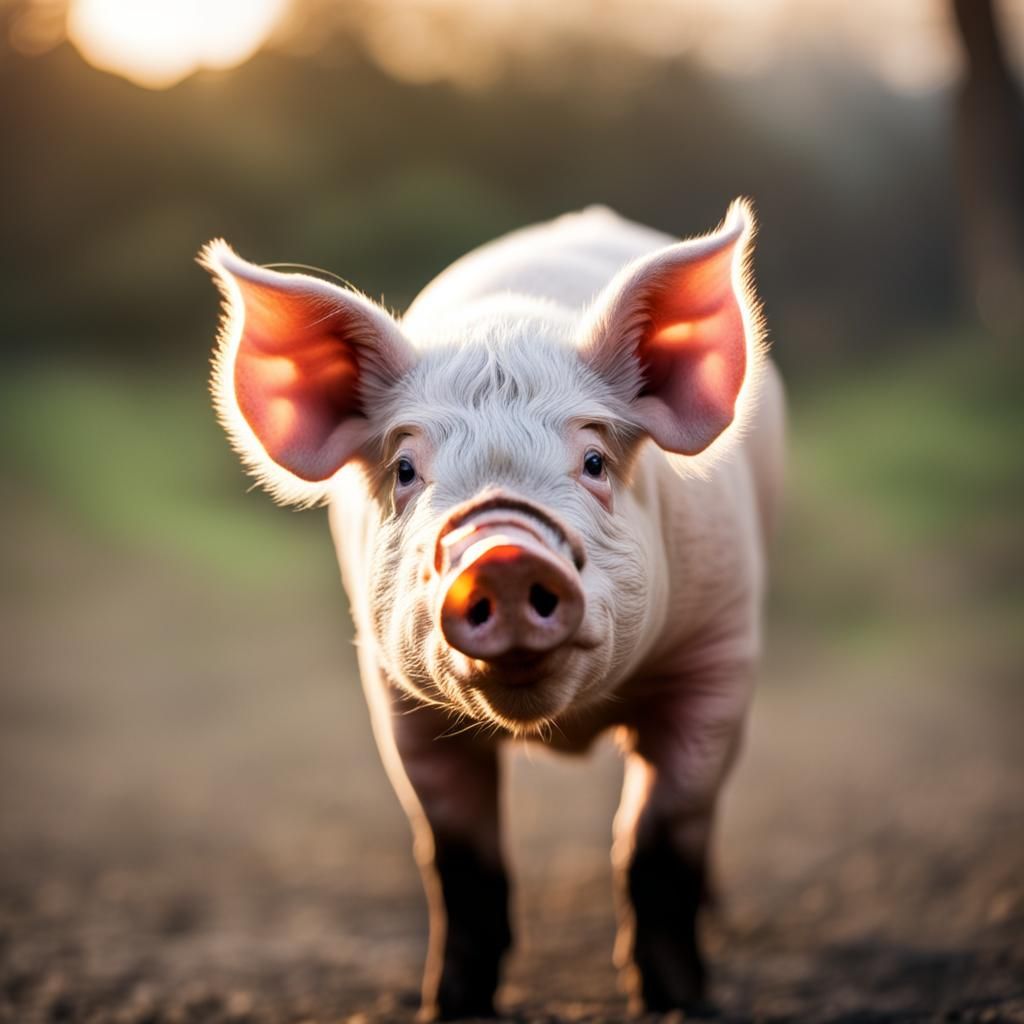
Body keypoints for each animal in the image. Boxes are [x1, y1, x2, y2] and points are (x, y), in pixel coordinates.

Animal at [200, 199, 785, 1020]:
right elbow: (459, 862)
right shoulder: (396, 697)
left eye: (594, 461)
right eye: (405, 469)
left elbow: (658, 844)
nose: (504, 559)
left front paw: (679, 1004)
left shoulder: (718, 657)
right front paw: (446, 1006)